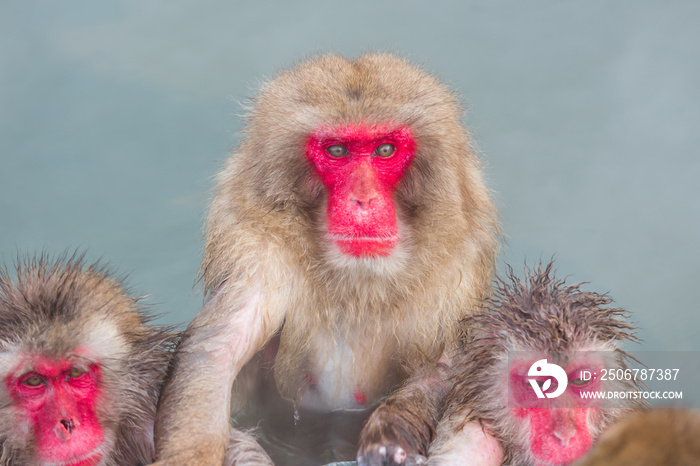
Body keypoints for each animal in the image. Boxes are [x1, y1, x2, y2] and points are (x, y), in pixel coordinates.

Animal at [154, 52, 498, 464]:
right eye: (337, 151)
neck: (357, 276)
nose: (363, 199)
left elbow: (448, 363)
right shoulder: (257, 247)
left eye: (385, 150)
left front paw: (392, 429)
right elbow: (216, 349)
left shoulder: (458, 260)